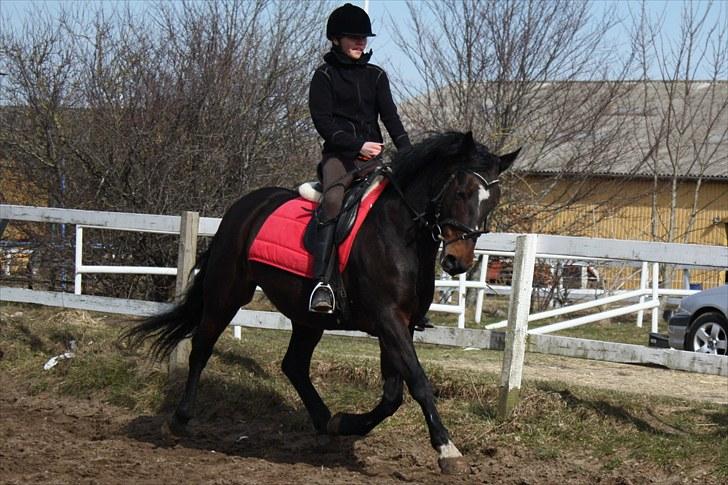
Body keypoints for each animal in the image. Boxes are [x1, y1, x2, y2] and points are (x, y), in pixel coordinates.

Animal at [123, 131, 520, 474]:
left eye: (494, 198)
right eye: (461, 190)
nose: (457, 262)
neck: (399, 233)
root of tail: (244, 208)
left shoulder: (399, 325)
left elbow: (393, 393)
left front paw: (345, 423)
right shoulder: (388, 320)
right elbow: (418, 383)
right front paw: (447, 449)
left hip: (307, 316)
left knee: (294, 365)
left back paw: (325, 423)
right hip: (227, 293)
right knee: (201, 348)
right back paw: (179, 420)